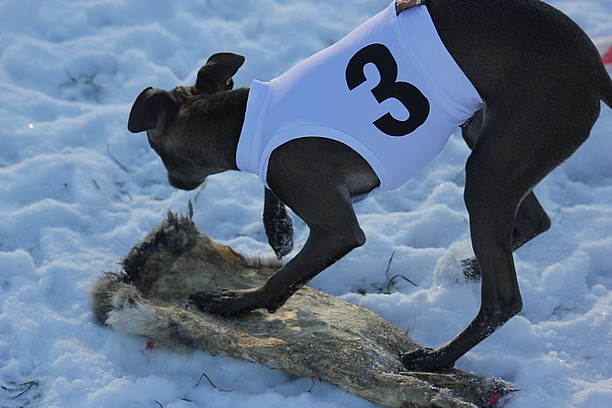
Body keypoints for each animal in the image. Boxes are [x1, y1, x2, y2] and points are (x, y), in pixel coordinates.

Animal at [129, 0, 612, 372]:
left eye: (158, 151)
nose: (174, 182)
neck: (242, 118)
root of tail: (596, 71)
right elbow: (273, 200)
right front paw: (278, 231)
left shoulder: (333, 223)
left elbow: (285, 274)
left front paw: (237, 303)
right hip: (486, 138)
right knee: (533, 223)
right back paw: (469, 269)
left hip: (494, 165)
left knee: (503, 300)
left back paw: (437, 360)